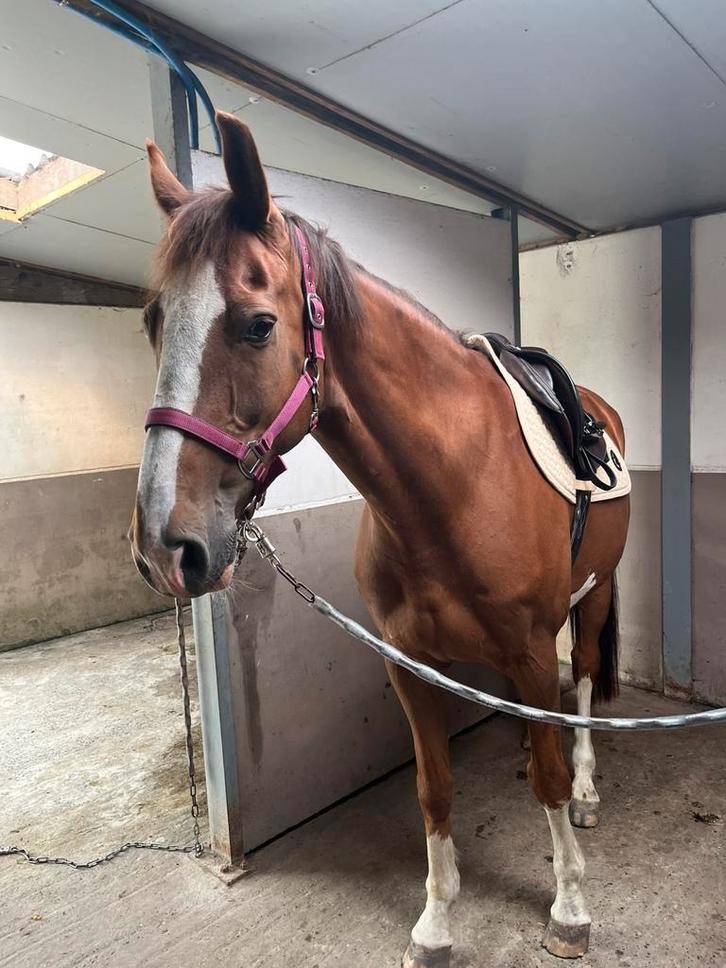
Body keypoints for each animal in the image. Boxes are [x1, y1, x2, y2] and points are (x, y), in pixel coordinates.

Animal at [130, 111, 630, 966]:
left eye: (258, 325)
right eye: (153, 321)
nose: (168, 548)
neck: (453, 485)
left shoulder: (534, 651)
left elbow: (552, 783)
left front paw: (568, 904)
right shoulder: (411, 663)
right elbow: (434, 787)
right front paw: (435, 920)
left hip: (590, 603)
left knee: (590, 680)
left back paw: (590, 787)